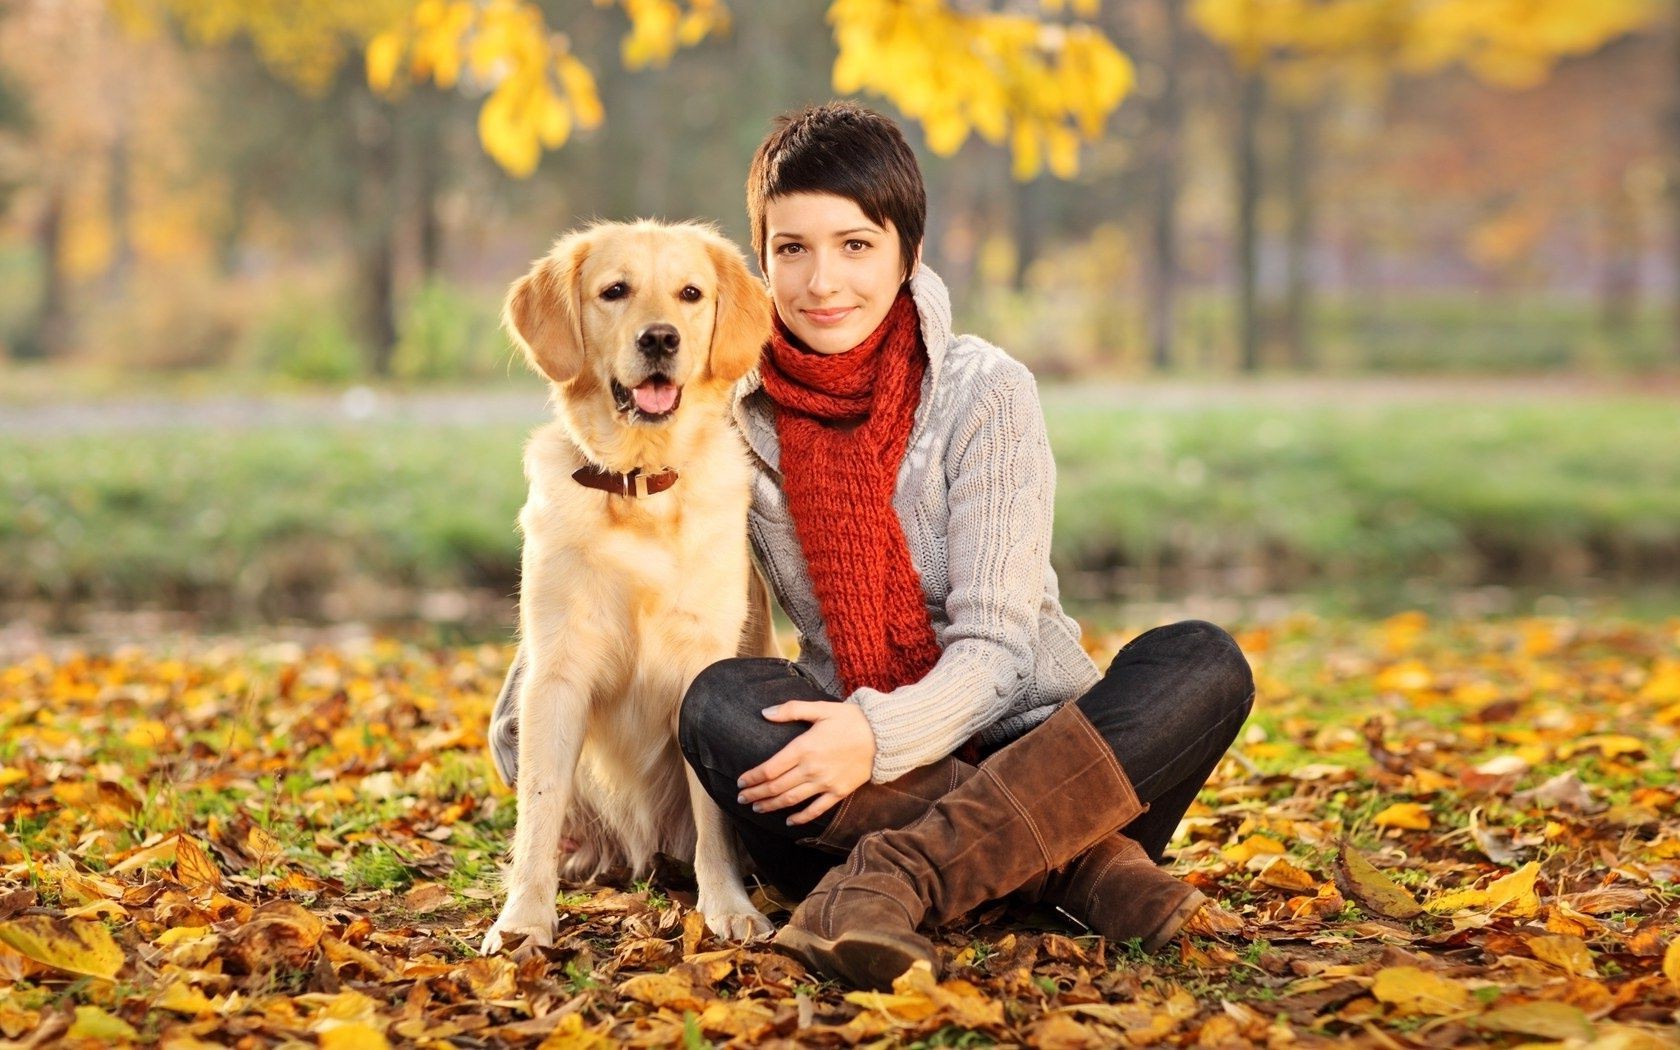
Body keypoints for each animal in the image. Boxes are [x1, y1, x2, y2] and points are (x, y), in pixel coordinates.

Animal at [483, 221, 776, 947]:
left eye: (690, 294)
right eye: (615, 291)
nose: (660, 338)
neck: (640, 487)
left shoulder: (703, 662)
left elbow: (712, 820)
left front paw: (728, 906)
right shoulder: (556, 670)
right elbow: (538, 809)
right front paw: (523, 919)